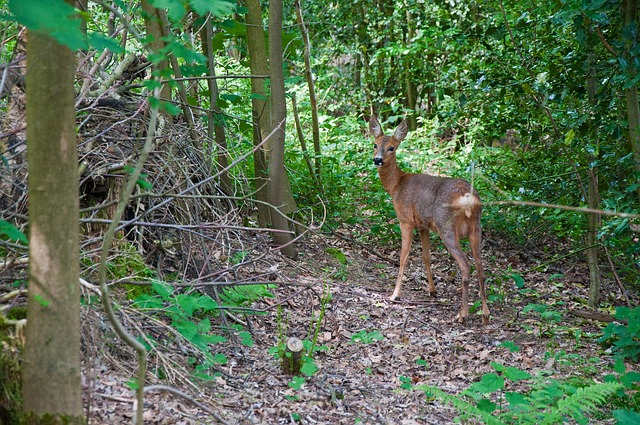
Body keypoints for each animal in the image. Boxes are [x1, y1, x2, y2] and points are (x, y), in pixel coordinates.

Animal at [370, 114, 490, 322]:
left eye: (391, 147)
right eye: (375, 144)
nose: (377, 160)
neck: (396, 186)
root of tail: (468, 198)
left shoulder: (406, 220)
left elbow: (404, 256)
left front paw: (395, 294)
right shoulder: (423, 225)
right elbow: (426, 256)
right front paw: (432, 290)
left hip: (446, 226)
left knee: (466, 264)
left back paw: (462, 314)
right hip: (476, 228)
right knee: (480, 266)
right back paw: (485, 314)